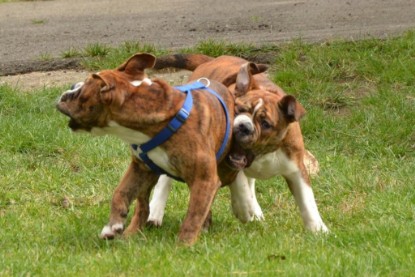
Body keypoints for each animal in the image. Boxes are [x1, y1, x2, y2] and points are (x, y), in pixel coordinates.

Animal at [149, 53, 328, 231]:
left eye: (265, 124)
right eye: (239, 109)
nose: (244, 126)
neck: (262, 154)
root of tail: (210, 61)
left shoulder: (296, 169)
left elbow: (307, 201)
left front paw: (318, 230)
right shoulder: (228, 161)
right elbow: (240, 185)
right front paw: (244, 209)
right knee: (166, 178)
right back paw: (156, 213)